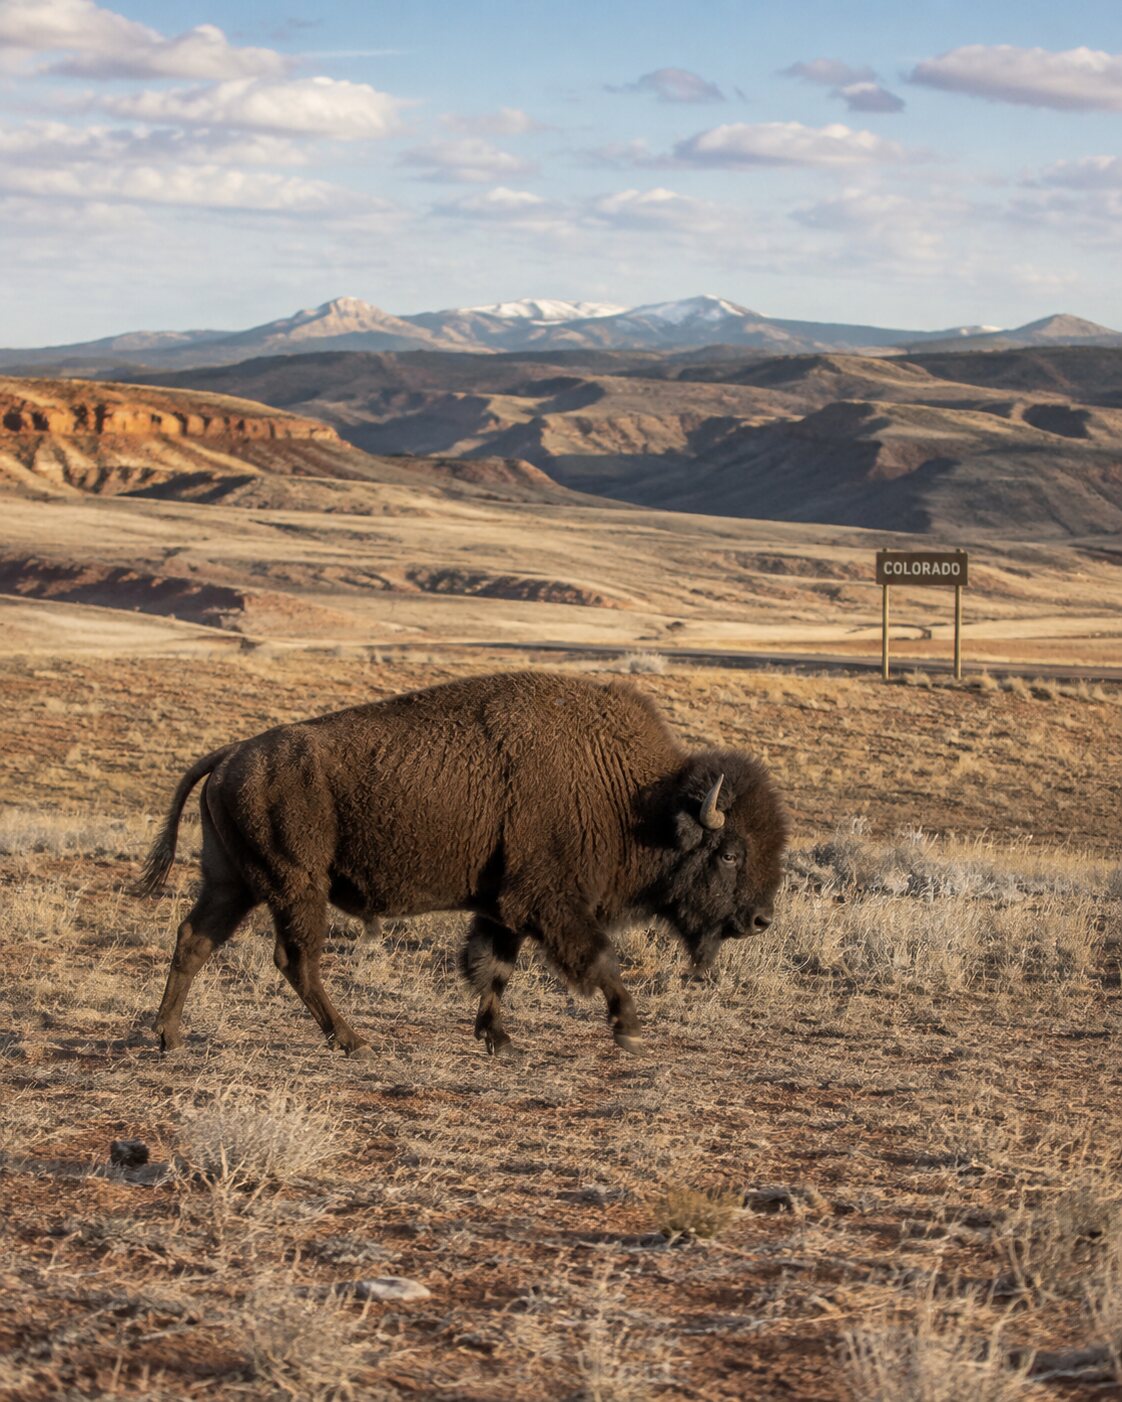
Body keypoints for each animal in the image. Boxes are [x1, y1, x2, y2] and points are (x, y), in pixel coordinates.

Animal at [139, 671, 787, 1057]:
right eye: (730, 853)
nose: (759, 920)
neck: (635, 798)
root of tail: (231, 755)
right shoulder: (551, 903)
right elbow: (596, 958)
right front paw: (629, 1029)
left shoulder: (504, 908)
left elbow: (492, 969)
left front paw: (498, 1040)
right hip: (295, 886)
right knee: (296, 960)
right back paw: (353, 1041)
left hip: (232, 883)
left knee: (195, 940)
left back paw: (169, 1036)